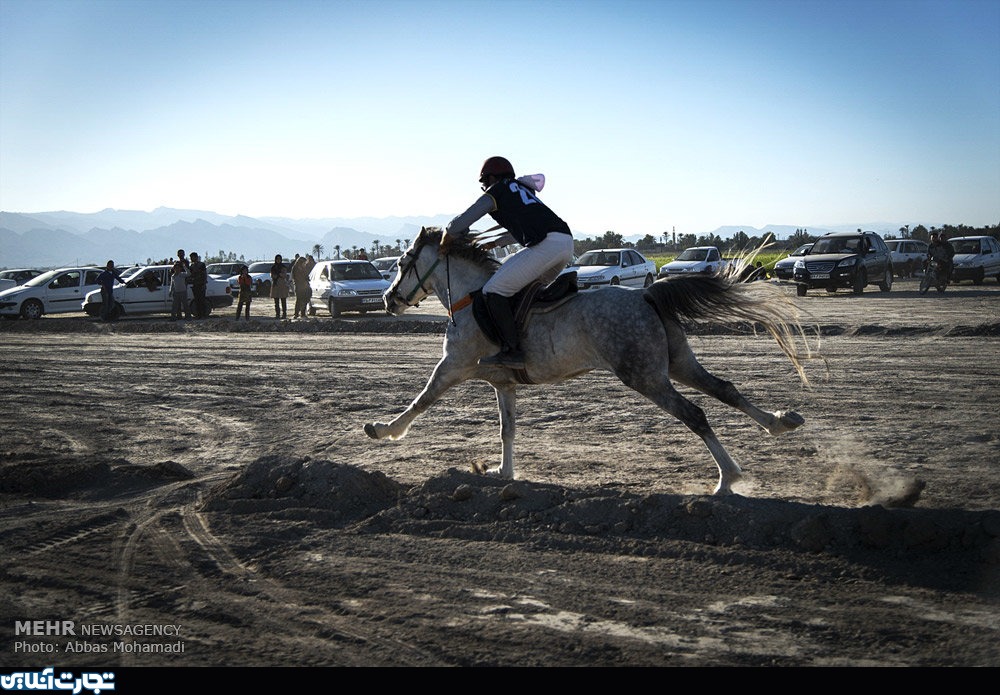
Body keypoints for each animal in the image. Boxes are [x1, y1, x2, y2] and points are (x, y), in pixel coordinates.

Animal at [368, 227, 812, 494]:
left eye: (402, 262)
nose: (389, 300)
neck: (468, 297)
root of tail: (645, 294)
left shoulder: (453, 367)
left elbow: (422, 399)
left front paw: (385, 430)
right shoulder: (504, 384)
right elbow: (507, 430)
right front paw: (504, 473)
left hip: (644, 376)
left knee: (695, 413)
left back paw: (727, 478)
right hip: (675, 363)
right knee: (725, 389)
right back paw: (778, 423)